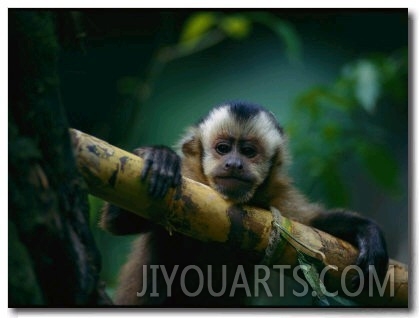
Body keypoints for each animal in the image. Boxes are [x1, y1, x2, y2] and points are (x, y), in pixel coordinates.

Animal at [100, 101, 388, 306]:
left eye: (248, 152)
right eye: (223, 149)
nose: (234, 164)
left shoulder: (277, 196)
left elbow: (312, 229)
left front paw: (368, 233)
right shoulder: (190, 181)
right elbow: (118, 220)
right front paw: (161, 157)